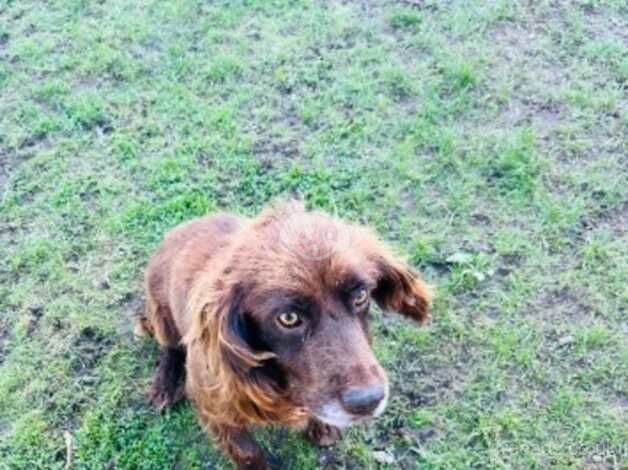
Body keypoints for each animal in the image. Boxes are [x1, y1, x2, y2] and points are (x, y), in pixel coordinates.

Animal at [137, 202, 432, 470]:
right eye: (288, 318)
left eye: (361, 296)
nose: (369, 401)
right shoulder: (215, 409)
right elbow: (248, 453)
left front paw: (321, 426)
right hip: (161, 312)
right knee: (170, 347)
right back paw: (164, 384)